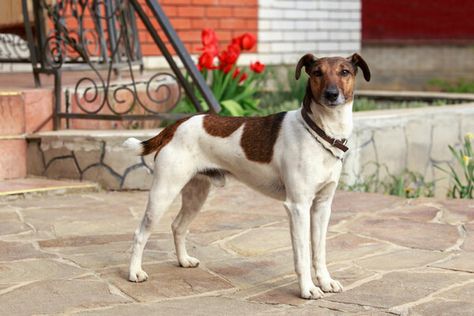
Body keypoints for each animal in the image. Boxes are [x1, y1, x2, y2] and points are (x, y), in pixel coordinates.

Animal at [125, 53, 370, 300]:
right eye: (317, 73)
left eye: (344, 72)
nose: (331, 94)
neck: (320, 132)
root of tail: (177, 124)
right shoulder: (298, 207)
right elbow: (302, 254)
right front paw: (307, 289)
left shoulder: (322, 206)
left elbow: (319, 252)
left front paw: (325, 282)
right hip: (163, 193)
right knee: (139, 233)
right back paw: (135, 272)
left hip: (196, 194)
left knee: (178, 226)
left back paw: (183, 260)